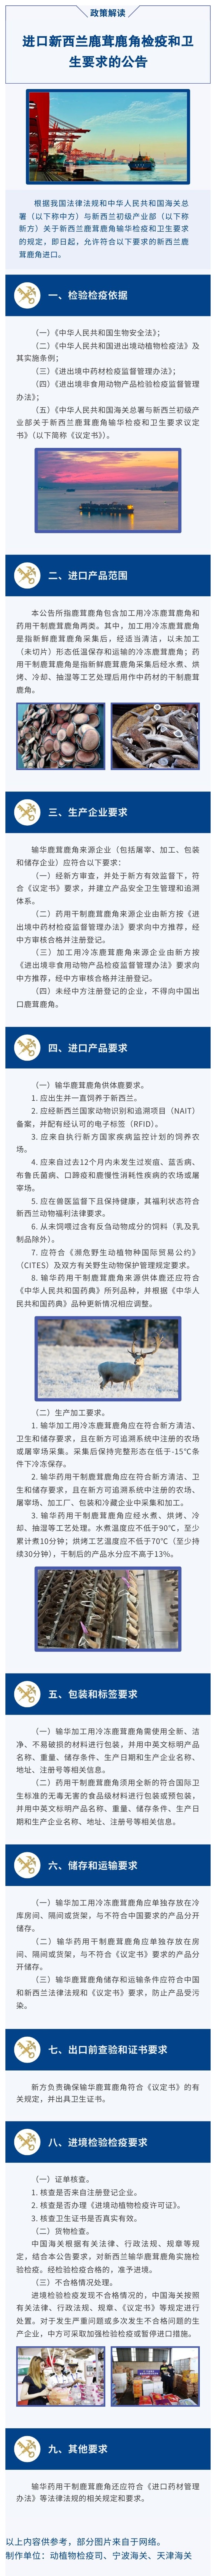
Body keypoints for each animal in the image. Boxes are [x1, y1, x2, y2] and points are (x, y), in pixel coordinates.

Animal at [98, 1330, 162, 1395]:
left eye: (141, 1359)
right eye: (135, 1358)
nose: (135, 1362)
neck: (135, 1373)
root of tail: (98, 1367)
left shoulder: (132, 1381)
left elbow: (132, 1390)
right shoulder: (126, 1378)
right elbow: (125, 1389)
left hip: (107, 1378)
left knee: (101, 1385)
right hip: (106, 1376)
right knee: (102, 1386)